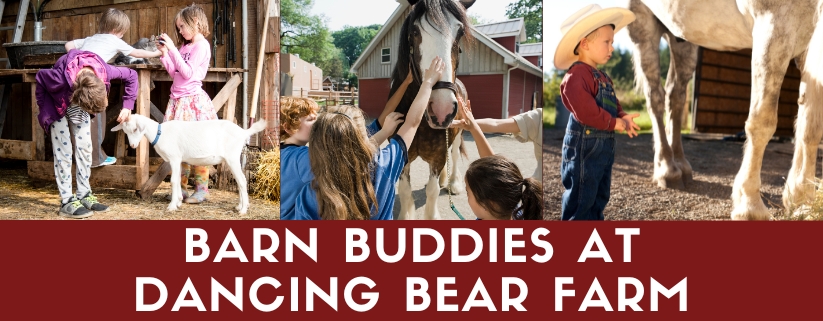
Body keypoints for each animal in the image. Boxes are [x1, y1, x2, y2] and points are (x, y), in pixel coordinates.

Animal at [112, 114, 268, 214]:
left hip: (232, 157)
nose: (133, 145)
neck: (159, 133)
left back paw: (243, 210)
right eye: (125, 131)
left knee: (242, 180)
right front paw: (179, 201)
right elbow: (178, 179)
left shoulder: (174, 158)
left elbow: (173, 181)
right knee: (240, 180)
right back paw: (239, 206)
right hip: (231, 159)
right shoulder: (179, 160)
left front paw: (172, 206)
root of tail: (243, 132)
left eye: (135, 129)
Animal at [392, 0, 476, 219]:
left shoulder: (438, 155)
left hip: (459, 133)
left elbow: (432, 190)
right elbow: (405, 189)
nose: (441, 109)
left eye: (460, 32)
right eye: (414, 31)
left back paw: (453, 183)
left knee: (453, 155)